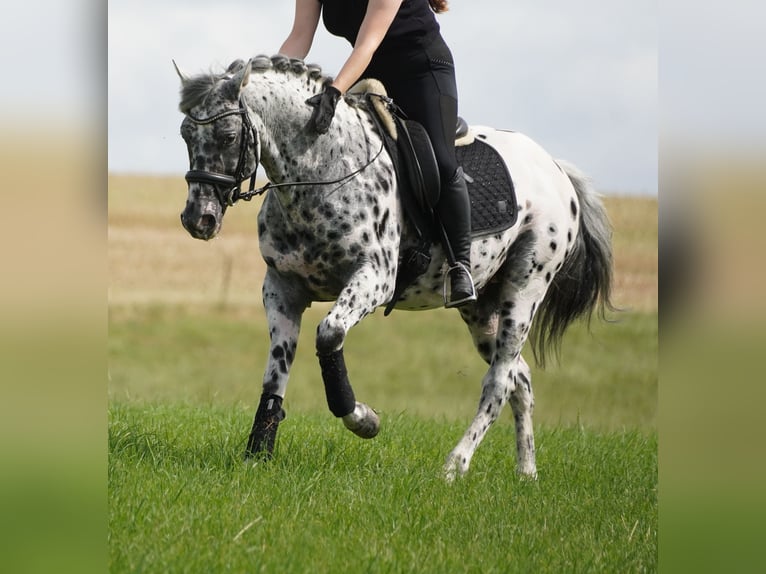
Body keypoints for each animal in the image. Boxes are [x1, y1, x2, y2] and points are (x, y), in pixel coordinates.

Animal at [177, 55, 616, 482]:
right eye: (185, 135)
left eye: (228, 136)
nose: (198, 219)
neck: (321, 168)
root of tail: (555, 168)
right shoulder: (282, 287)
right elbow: (276, 369)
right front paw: (257, 454)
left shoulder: (374, 278)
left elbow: (329, 335)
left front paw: (363, 419)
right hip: (481, 307)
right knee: (519, 380)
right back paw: (526, 473)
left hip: (525, 288)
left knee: (498, 381)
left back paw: (455, 466)